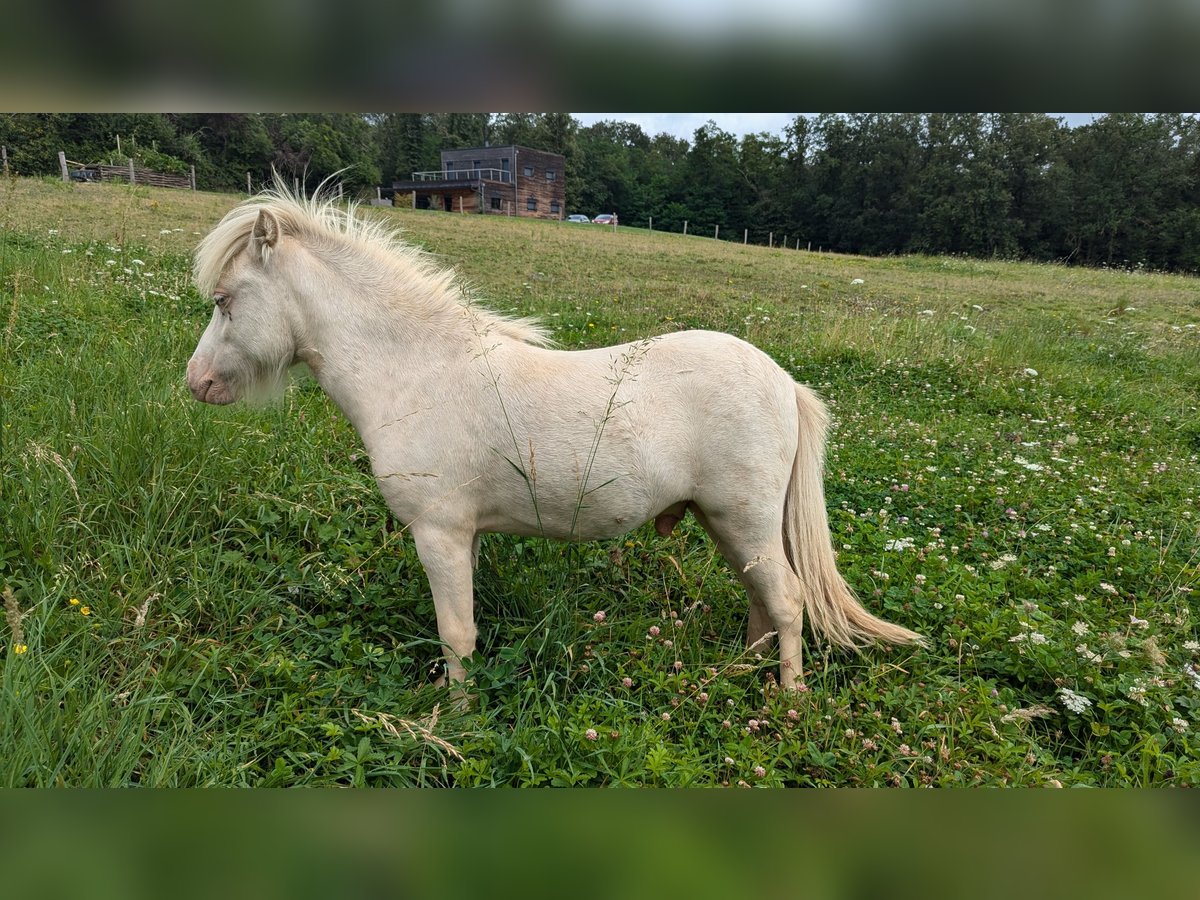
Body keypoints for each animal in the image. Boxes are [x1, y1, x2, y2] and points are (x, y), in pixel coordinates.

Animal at [186, 183, 925, 692]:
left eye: (224, 300)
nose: (198, 383)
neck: (419, 371)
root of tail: (783, 381)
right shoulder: (465, 536)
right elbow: (465, 630)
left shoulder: (438, 533)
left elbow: (455, 635)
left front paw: (454, 718)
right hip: (727, 523)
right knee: (762, 601)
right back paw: (740, 674)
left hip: (744, 519)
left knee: (788, 601)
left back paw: (788, 700)